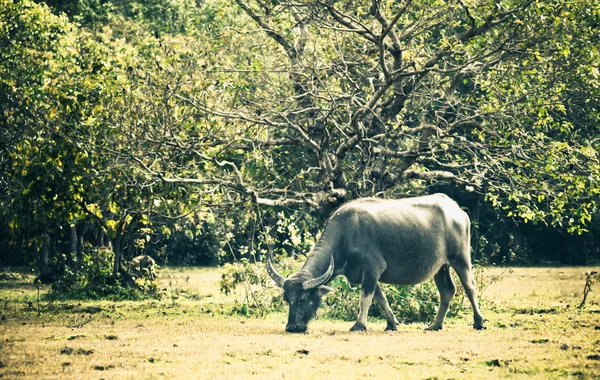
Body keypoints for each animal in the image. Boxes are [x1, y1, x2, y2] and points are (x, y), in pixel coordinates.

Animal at [270, 194, 486, 334]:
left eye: (302, 299)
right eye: (287, 300)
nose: (292, 327)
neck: (345, 236)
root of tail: (457, 210)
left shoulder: (372, 270)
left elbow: (365, 298)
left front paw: (359, 325)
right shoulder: (367, 275)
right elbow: (380, 299)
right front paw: (392, 324)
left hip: (460, 259)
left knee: (470, 287)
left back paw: (479, 322)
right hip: (440, 267)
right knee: (447, 291)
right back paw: (435, 325)